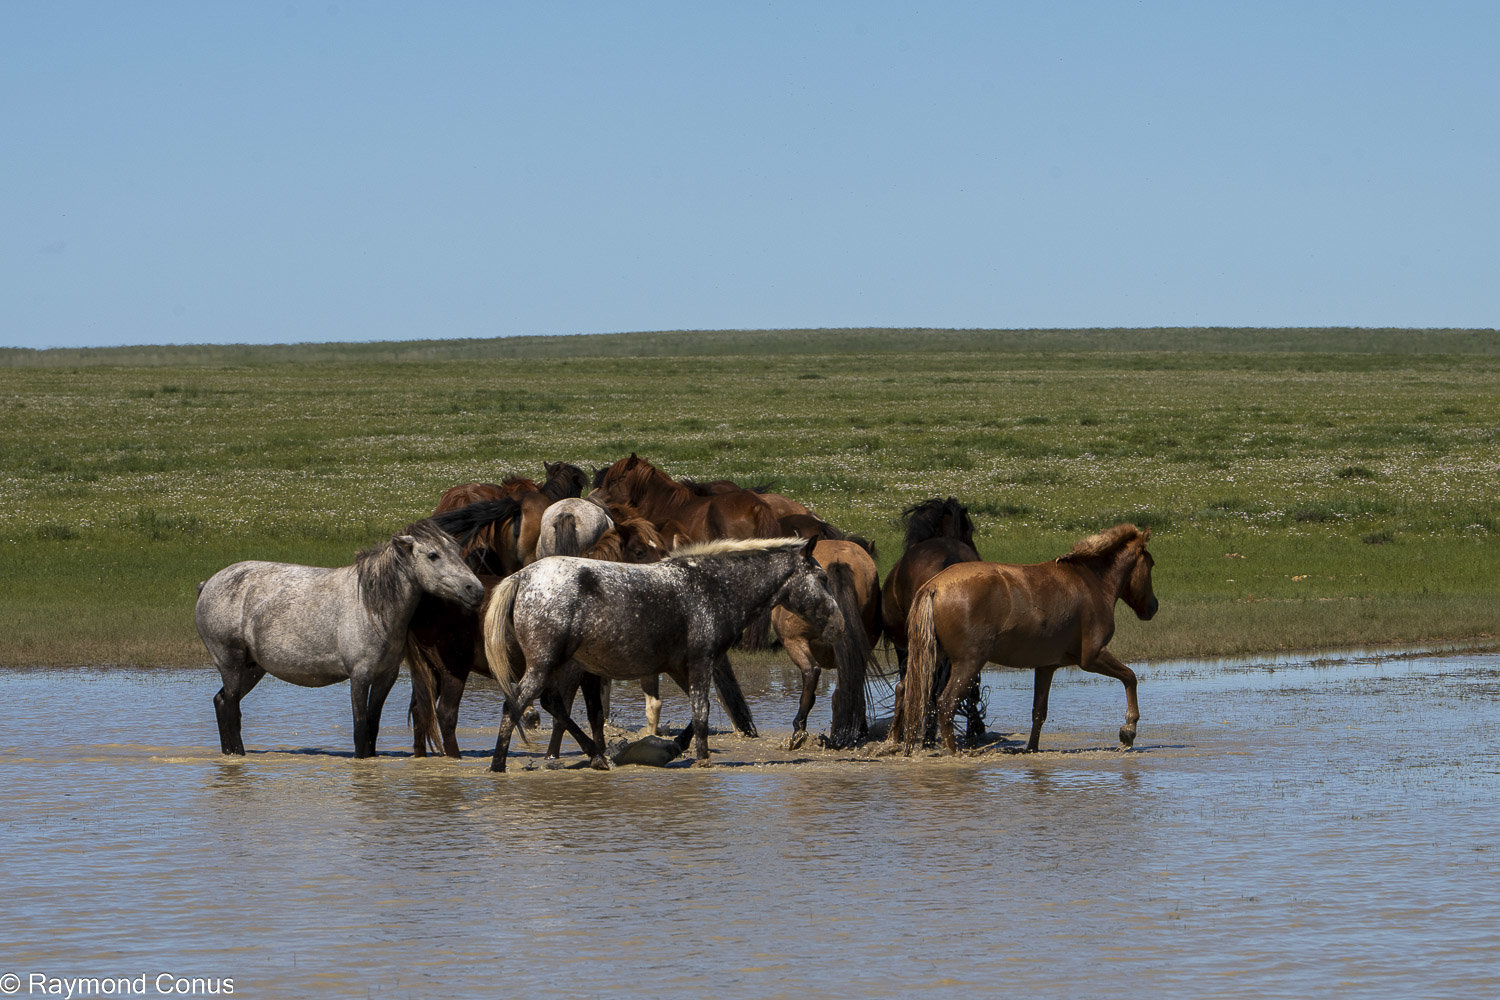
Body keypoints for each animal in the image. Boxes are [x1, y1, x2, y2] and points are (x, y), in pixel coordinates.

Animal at [195, 519, 484, 758]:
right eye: (433, 555)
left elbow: (372, 726)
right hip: (230, 663)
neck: (371, 605)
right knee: (231, 708)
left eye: (456, 551)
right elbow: (360, 727)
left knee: (222, 702)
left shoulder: (385, 676)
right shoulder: (359, 675)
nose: (476, 590)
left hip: (252, 669)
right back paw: (238, 755)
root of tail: (207, 584)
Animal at [482, 536, 843, 771]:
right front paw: (702, 758)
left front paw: (677, 747)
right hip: (545, 665)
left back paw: (596, 755)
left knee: (551, 704)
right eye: (823, 577)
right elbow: (702, 710)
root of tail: (522, 576)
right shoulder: (700, 662)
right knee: (515, 705)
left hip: (557, 666)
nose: (838, 622)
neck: (712, 587)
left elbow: (700, 713)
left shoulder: (681, 667)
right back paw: (499, 765)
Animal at [891, 524, 1158, 756]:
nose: (1153, 607)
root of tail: (934, 586)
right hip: (968, 663)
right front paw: (1128, 731)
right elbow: (1130, 677)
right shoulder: (1093, 657)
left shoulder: (1047, 666)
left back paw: (894, 742)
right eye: (1152, 563)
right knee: (946, 703)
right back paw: (954, 752)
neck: (1090, 583)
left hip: (931, 657)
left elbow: (1039, 711)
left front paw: (1032, 748)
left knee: (904, 689)